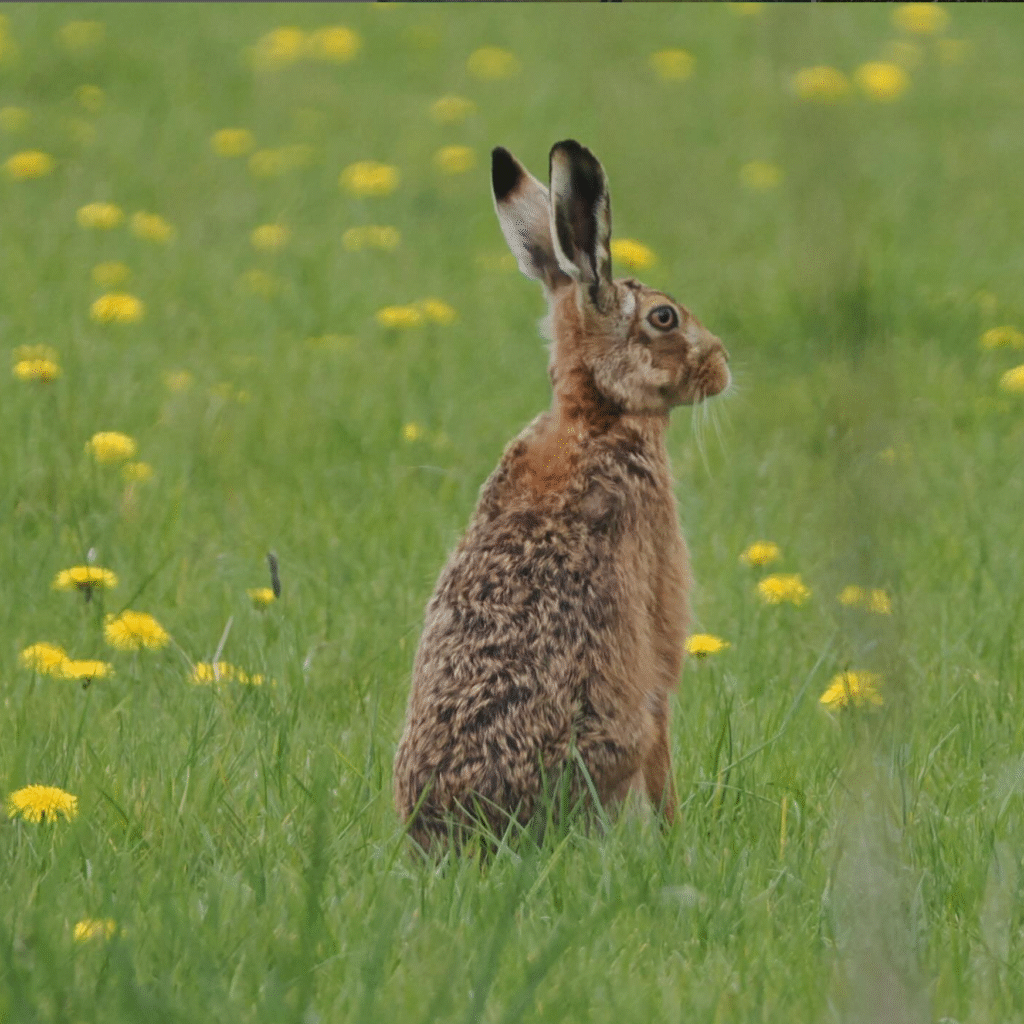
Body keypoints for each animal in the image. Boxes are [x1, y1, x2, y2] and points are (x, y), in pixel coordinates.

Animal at [393, 140, 730, 852]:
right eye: (664, 317)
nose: (722, 366)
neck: (595, 412)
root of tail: (469, 837)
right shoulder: (657, 630)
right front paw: (676, 838)